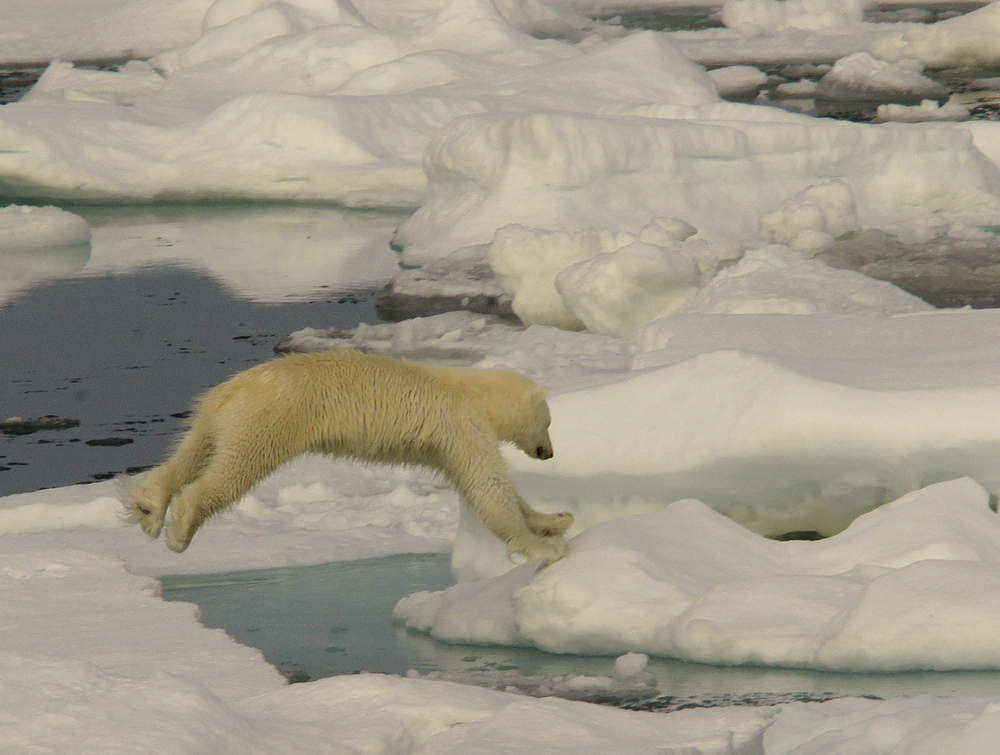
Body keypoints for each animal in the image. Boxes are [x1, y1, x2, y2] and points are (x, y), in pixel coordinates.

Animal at [125, 352, 576, 564]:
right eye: (548, 422)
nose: (549, 453)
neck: (474, 390)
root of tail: (233, 388)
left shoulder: (445, 443)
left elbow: (486, 485)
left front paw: (556, 519)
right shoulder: (461, 427)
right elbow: (488, 487)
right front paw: (545, 547)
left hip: (219, 416)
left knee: (194, 450)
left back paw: (150, 507)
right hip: (271, 419)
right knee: (235, 467)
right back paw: (181, 528)